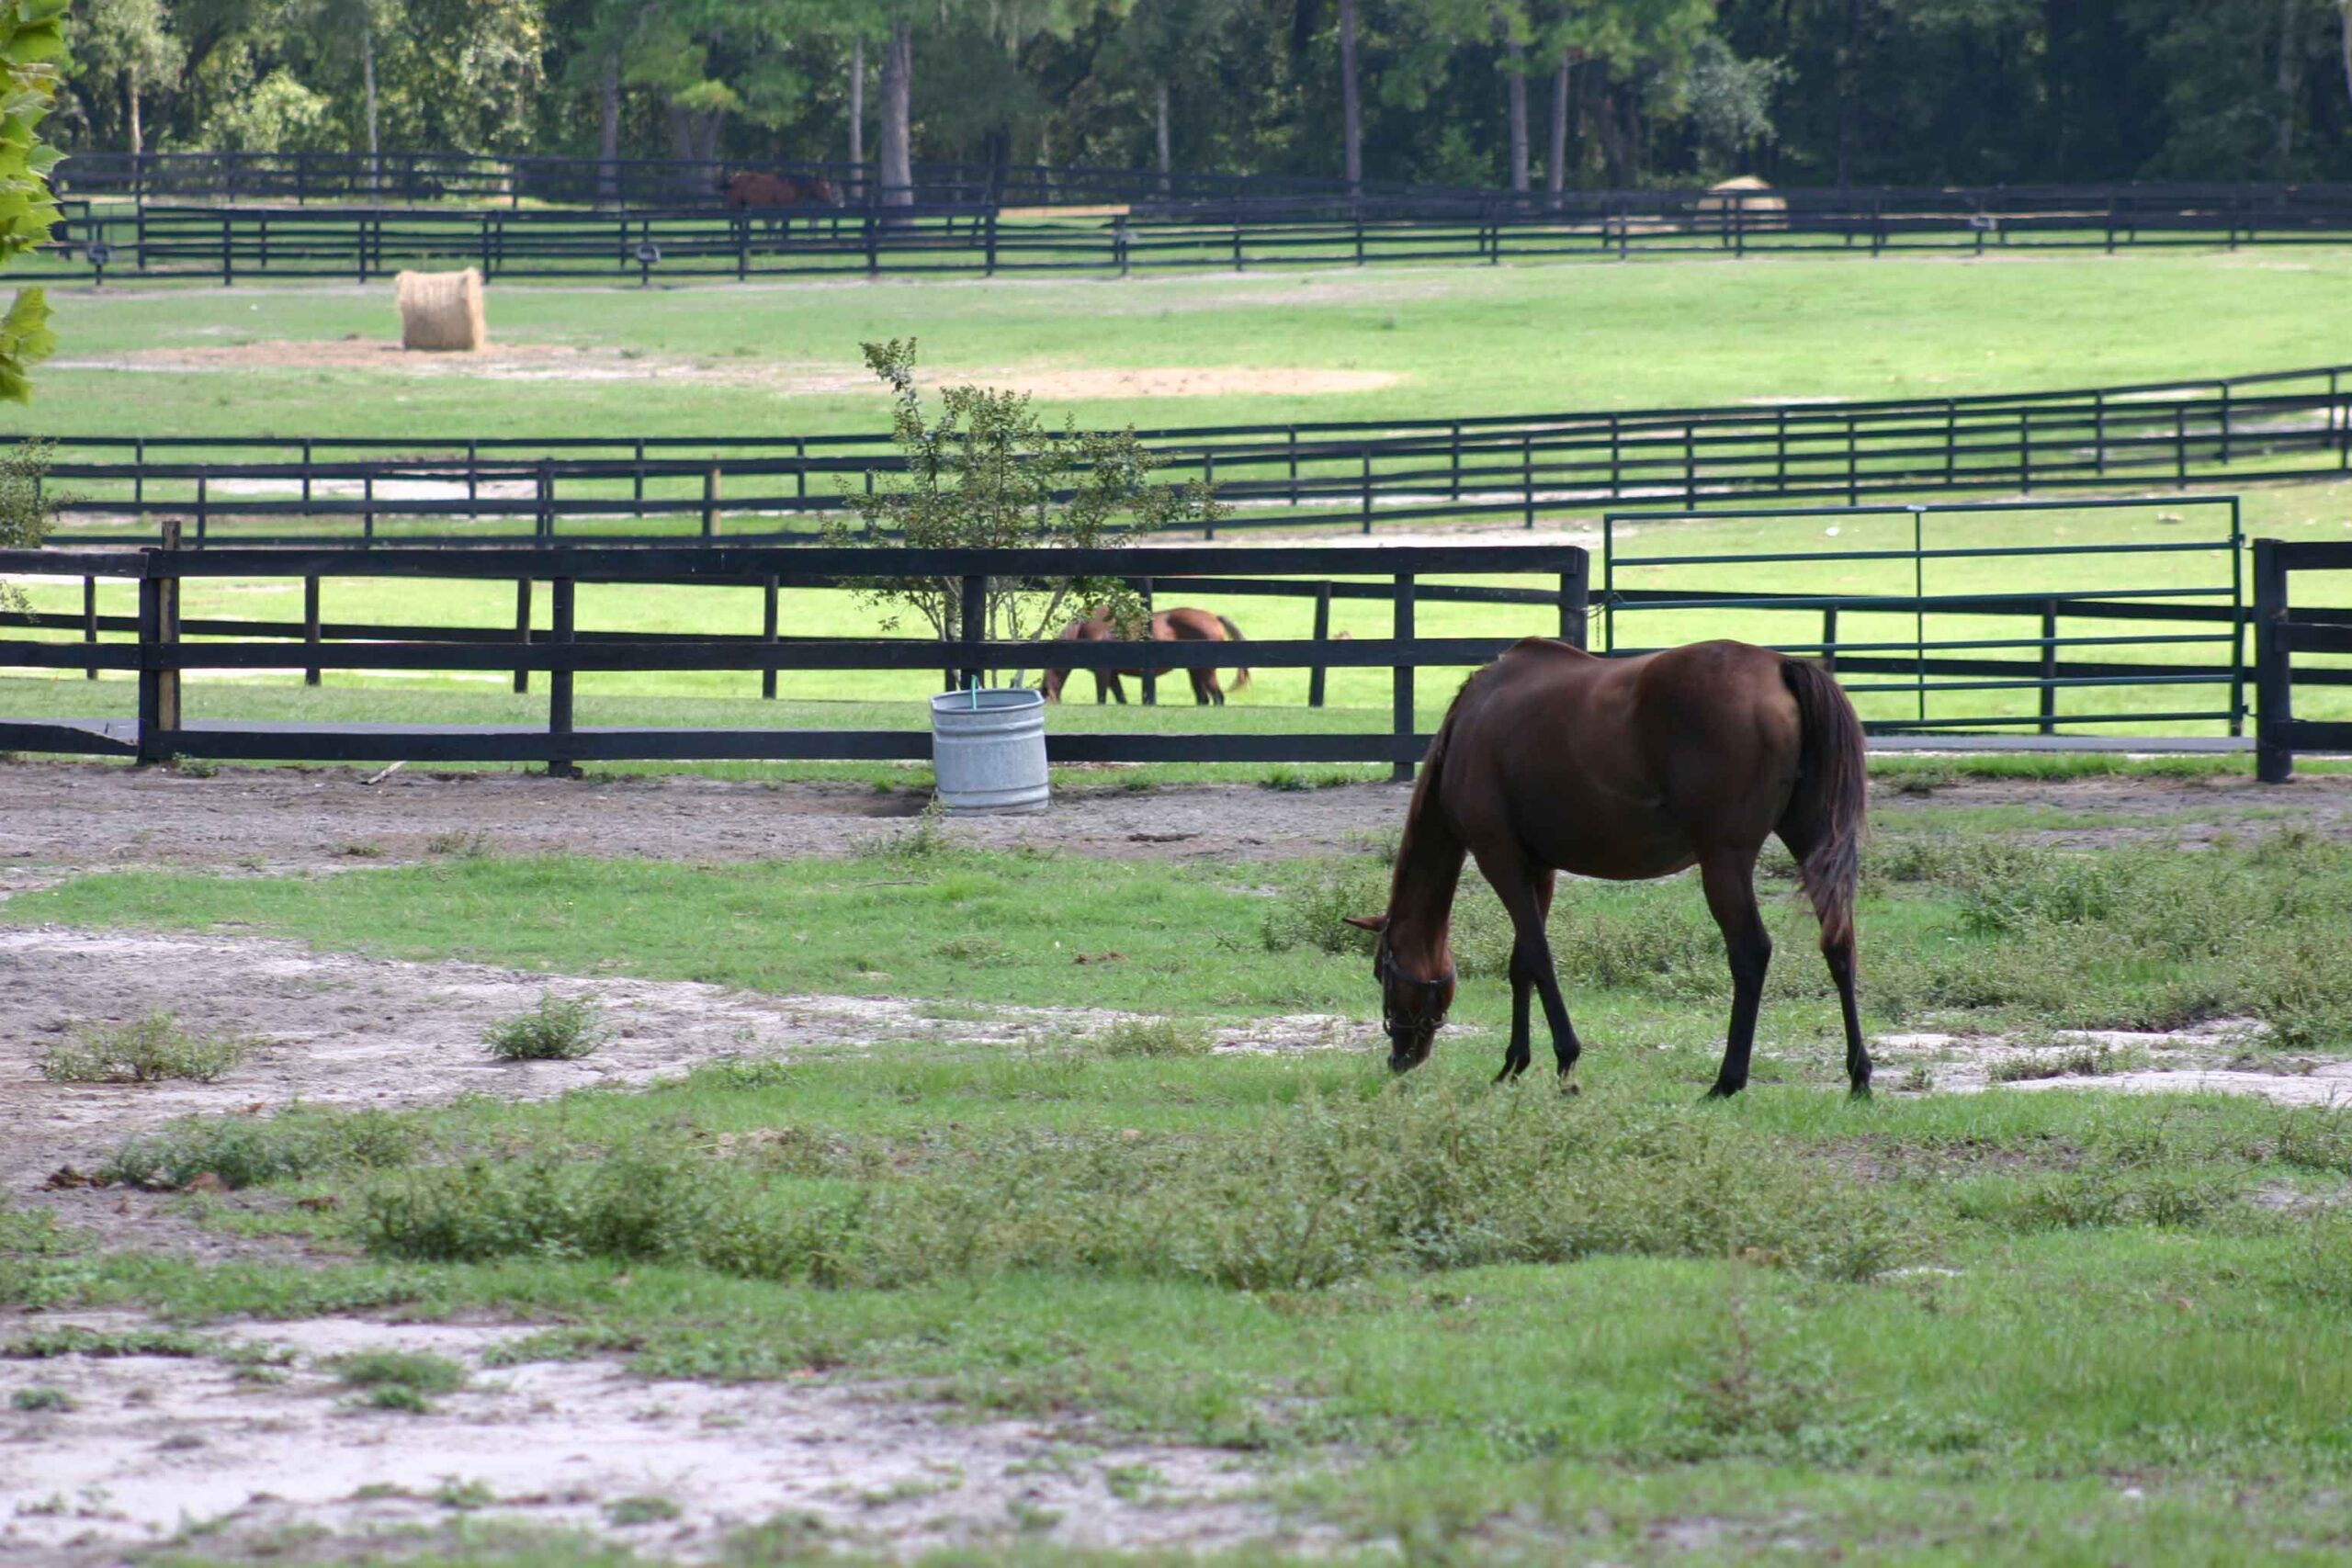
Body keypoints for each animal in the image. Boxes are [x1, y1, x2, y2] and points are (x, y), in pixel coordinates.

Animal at [1035, 611, 1241, 709]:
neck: (1085, 631)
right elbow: (1120, 697)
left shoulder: (1103, 671)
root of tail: (1213, 617)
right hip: (1195, 671)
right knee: (1204, 698)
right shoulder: (1112, 675)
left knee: (1218, 697)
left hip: (1206, 670)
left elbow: (1101, 696)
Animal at [1345, 639, 1871, 1104]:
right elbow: (1521, 964)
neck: (1470, 724)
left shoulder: (1501, 860)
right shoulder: (1538, 870)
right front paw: (1514, 1063)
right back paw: (1859, 1075)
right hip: (1811, 841)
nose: (1401, 1061)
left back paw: (1727, 1080)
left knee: (1751, 953)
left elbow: (1539, 959)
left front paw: (1566, 1062)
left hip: (1724, 859)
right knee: (1838, 944)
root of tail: (1780, 666)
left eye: (1380, 972)